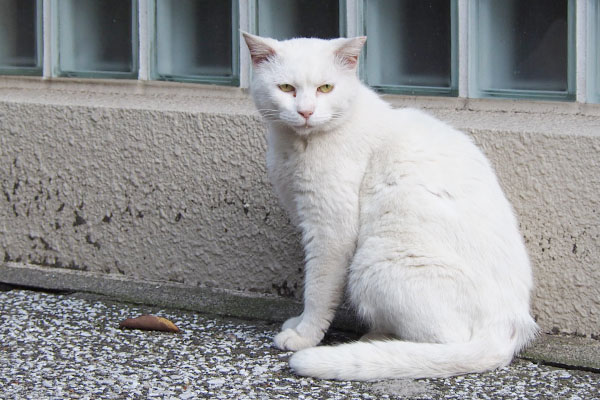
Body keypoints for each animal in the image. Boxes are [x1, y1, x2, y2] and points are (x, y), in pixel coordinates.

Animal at [244, 32, 540, 380]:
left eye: (326, 88)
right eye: (287, 88)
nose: (305, 111)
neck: (295, 145)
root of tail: (507, 328)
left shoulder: (330, 230)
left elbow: (317, 290)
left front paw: (304, 335)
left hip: (373, 261)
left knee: (443, 342)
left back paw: (376, 344)